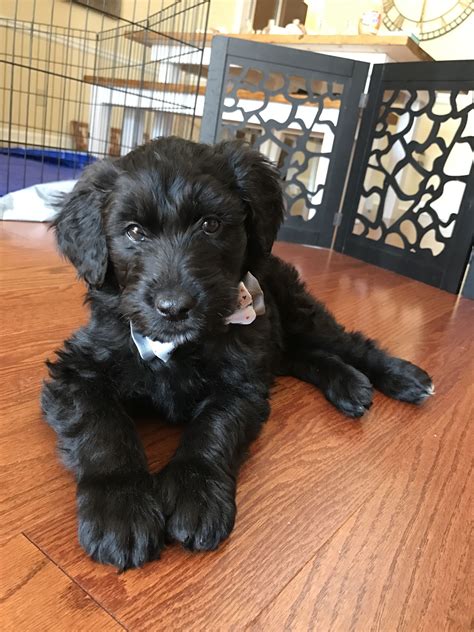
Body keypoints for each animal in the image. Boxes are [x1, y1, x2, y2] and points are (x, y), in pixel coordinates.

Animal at [41, 136, 434, 572]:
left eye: (211, 224)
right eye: (134, 232)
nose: (174, 307)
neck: (176, 346)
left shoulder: (241, 380)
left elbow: (213, 427)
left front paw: (195, 493)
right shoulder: (76, 371)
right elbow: (102, 426)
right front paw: (120, 507)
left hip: (298, 311)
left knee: (346, 342)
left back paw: (402, 377)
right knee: (306, 357)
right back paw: (350, 386)